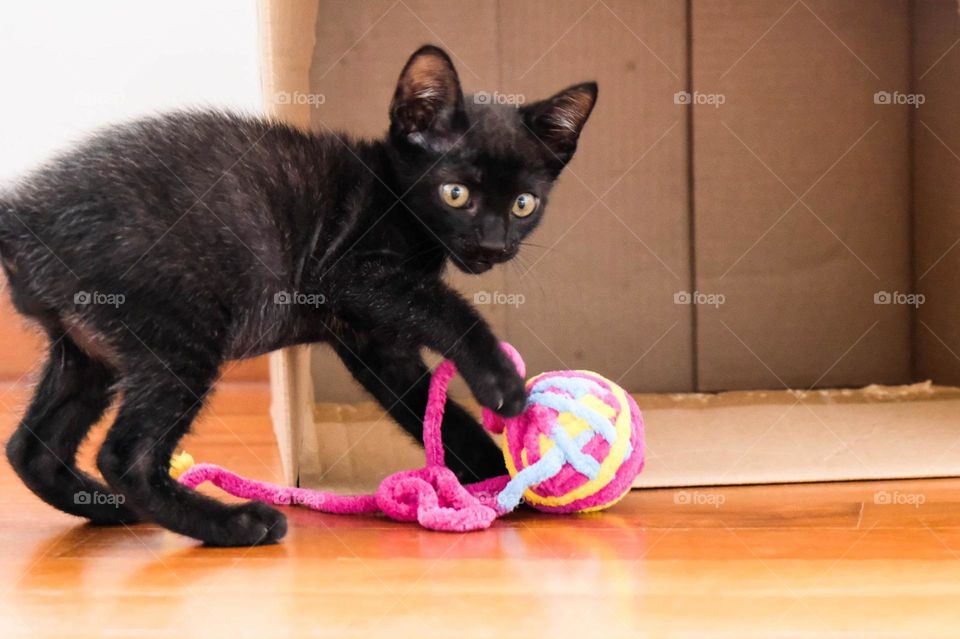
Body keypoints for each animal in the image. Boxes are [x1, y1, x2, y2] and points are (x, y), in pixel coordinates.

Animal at [0, 46, 596, 544]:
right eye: (456, 194)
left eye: (523, 204)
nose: (492, 244)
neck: (394, 194)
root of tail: (25, 213)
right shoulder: (347, 273)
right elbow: (450, 309)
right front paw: (502, 385)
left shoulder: (375, 341)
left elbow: (427, 404)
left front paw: (497, 474)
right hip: (179, 335)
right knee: (127, 455)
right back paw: (233, 524)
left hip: (88, 350)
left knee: (30, 449)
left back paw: (107, 507)